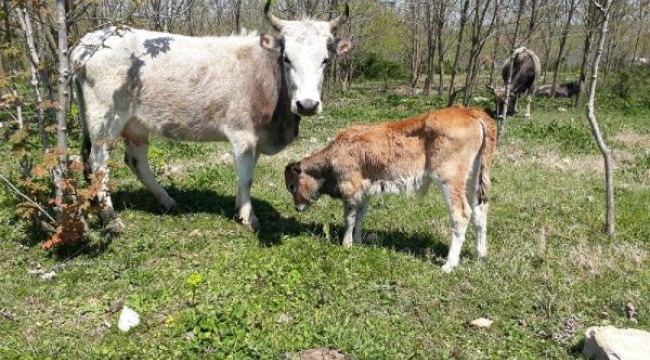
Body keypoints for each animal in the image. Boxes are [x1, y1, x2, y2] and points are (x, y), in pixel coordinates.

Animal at [284, 105, 496, 272]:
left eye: (292, 186)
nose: (297, 207)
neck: (334, 153)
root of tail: (470, 111)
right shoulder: (365, 191)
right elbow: (361, 215)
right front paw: (358, 240)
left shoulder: (350, 187)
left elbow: (350, 217)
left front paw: (346, 244)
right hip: (473, 179)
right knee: (480, 209)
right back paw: (480, 254)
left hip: (450, 178)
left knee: (462, 214)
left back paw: (449, 264)